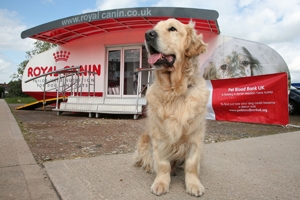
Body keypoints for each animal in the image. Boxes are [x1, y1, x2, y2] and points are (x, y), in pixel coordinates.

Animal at [134, 18, 209, 197]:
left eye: (172, 29)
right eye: (154, 28)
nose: (148, 34)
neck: (174, 92)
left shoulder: (195, 136)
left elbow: (191, 164)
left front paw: (193, 184)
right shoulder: (159, 135)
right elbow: (162, 164)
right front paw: (161, 182)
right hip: (144, 139)